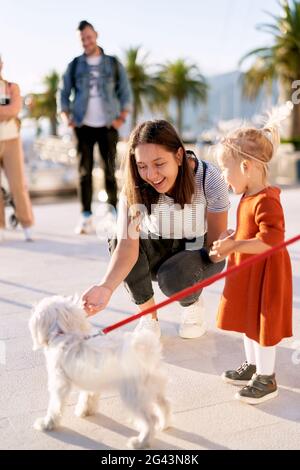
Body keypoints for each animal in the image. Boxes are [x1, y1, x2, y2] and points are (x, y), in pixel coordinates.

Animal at [30, 296, 172, 450]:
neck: (64, 334)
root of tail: (145, 351)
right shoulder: (90, 380)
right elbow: (88, 395)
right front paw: (85, 410)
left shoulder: (59, 383)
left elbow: (55, 405)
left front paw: (47, 424)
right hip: (153, 388)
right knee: (165, 405)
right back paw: (164, 425)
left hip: (134, 396)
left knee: (151, 419)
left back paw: (141, 442)